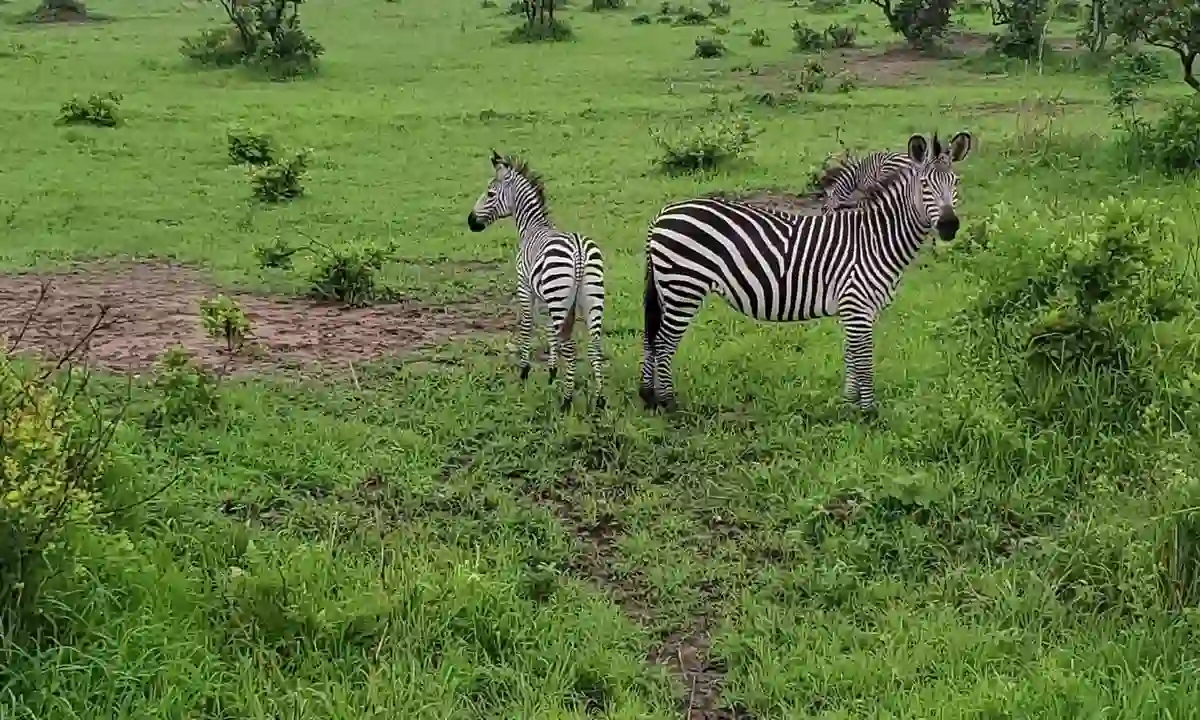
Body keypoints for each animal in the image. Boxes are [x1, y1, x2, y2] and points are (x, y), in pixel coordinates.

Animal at [467, 150, 606, 411]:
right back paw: (600, 399)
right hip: (591, 297)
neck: (532, 227)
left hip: (560, 296)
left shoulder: (525, 286)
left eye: (490, 193)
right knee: (594, 345)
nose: (470, 221)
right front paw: (551, 373)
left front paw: (524, 372)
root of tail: (579, 250)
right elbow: (550, 332)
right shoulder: (544, 296)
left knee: (570, 347)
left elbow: (527, 326)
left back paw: (566, 401)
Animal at [639, 131, 972, 414]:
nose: (949, 226)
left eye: (955, 183)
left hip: (669, 287)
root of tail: (663, 214)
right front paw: (868, 413)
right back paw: (667, 403)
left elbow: (851, 354)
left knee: (651, 337)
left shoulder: (856, 309)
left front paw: (849, 404)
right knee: (664, 341)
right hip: (684, 286)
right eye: (925, 185)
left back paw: (648, 396)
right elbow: (863, 359)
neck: (876, 238)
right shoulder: (858, 305)